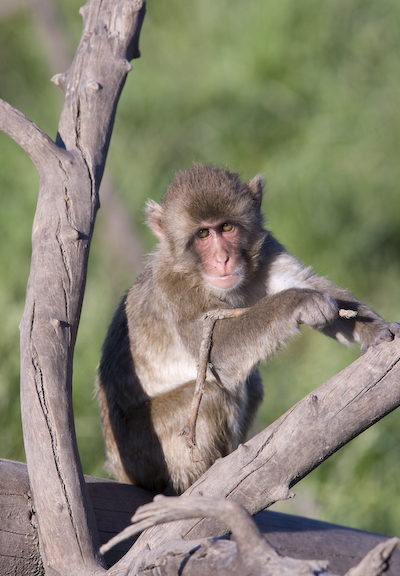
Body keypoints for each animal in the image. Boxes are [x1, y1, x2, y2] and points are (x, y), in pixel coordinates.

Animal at [96, 163, 400, 496]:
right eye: (203, 234)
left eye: (227, 227)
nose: (222, 259)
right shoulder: (173, 289)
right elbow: (215, 352)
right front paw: (298, 301)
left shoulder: (268, 251)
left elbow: (314, 285)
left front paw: (376, 330)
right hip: (141, 451)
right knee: (212, 395)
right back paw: (193, 485)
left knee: (251, 385)